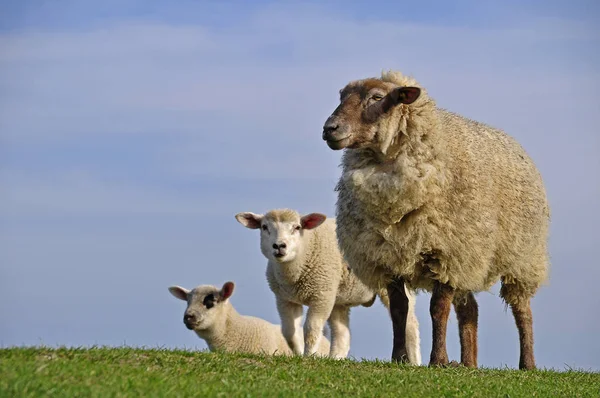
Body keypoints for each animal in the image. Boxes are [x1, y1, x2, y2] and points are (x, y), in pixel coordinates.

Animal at [234, 208, 422, 364]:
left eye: (297, 227)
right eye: (264, 227)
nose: (279, 246)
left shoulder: (321, 295)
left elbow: (311, 329)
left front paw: (309, 356)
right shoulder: (285, 299)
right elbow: (289, 332)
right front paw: (298, 353)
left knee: (410, 323)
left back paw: (413, 361)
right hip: (339, 299)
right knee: (342, 334)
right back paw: (335, 359)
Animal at [322, 69, 552, 370]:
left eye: (377, 97)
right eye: (341, 96)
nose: (329, 129)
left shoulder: (446, 254)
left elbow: (437, 309)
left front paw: (438, 360)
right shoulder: (389, 256)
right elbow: (400, 310)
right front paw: (399, 358)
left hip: (522, 256)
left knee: (522, 309)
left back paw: (527, 364)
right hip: (472, 259)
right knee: (470, 310)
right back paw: (468, 364)